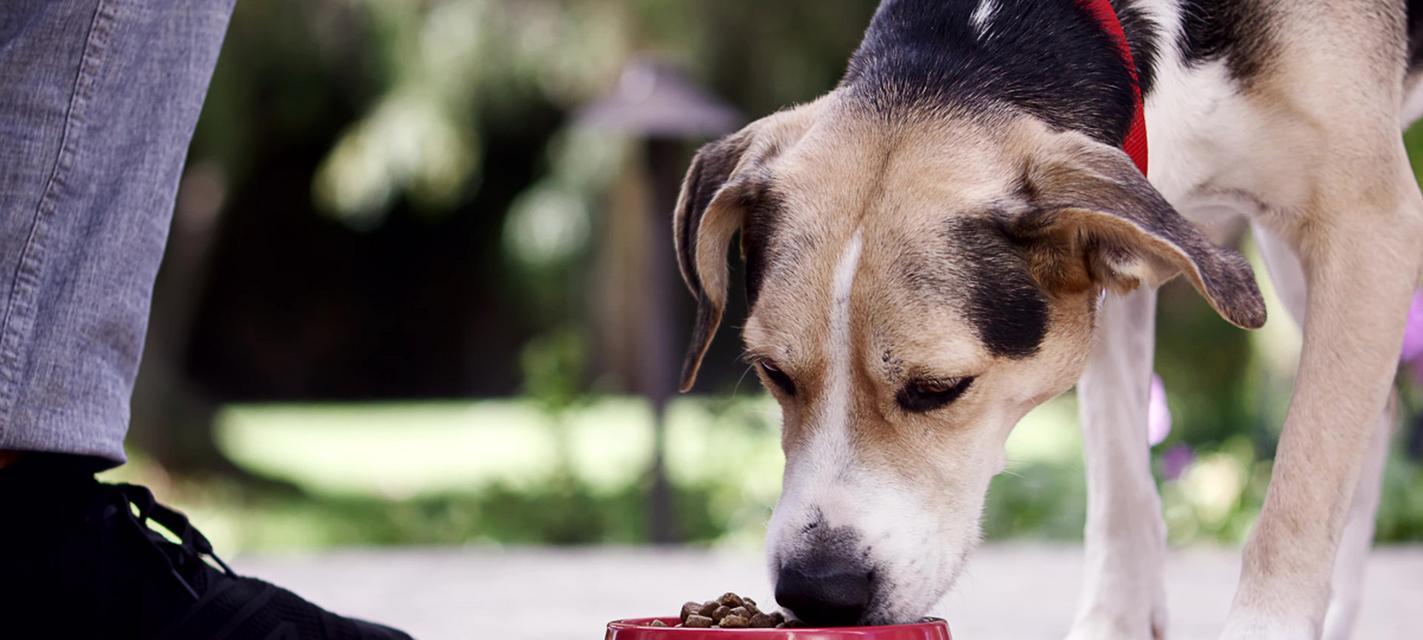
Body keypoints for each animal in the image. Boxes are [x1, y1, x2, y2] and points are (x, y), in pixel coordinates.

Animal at [671, 1, 1423, 640]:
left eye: (939, 388)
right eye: (773, 373)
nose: (818, 591)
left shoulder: (1370, 228)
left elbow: (1301, 485)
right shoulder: (1127, 245)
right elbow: (1121, 481)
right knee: (1379, 411)